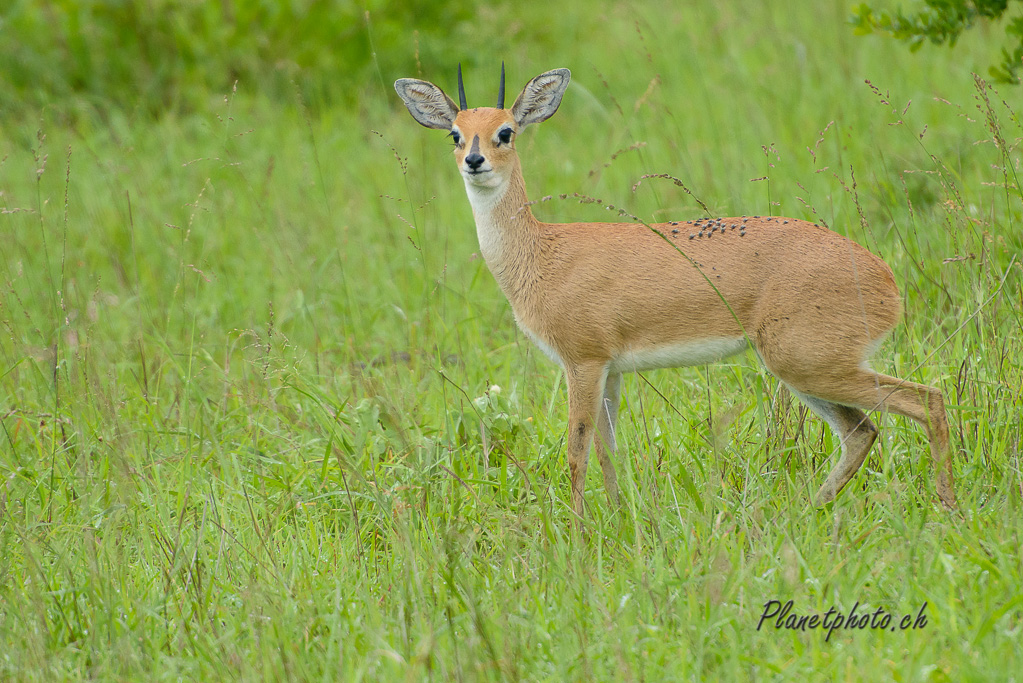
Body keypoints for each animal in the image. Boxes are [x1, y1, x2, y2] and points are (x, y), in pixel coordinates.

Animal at [392, 66, 957, 519]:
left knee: (926, 399)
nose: (475, 161)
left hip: (809, 364)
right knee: (863, 431)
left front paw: (574, 534)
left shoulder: (582, 362)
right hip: (806, 371)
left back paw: (947, 510)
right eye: (456, 134)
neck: (541, 255)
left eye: (505, 132)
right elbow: (607, 450)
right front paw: (618, 520)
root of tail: (886, 280)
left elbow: (575, 450)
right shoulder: (611, 371)